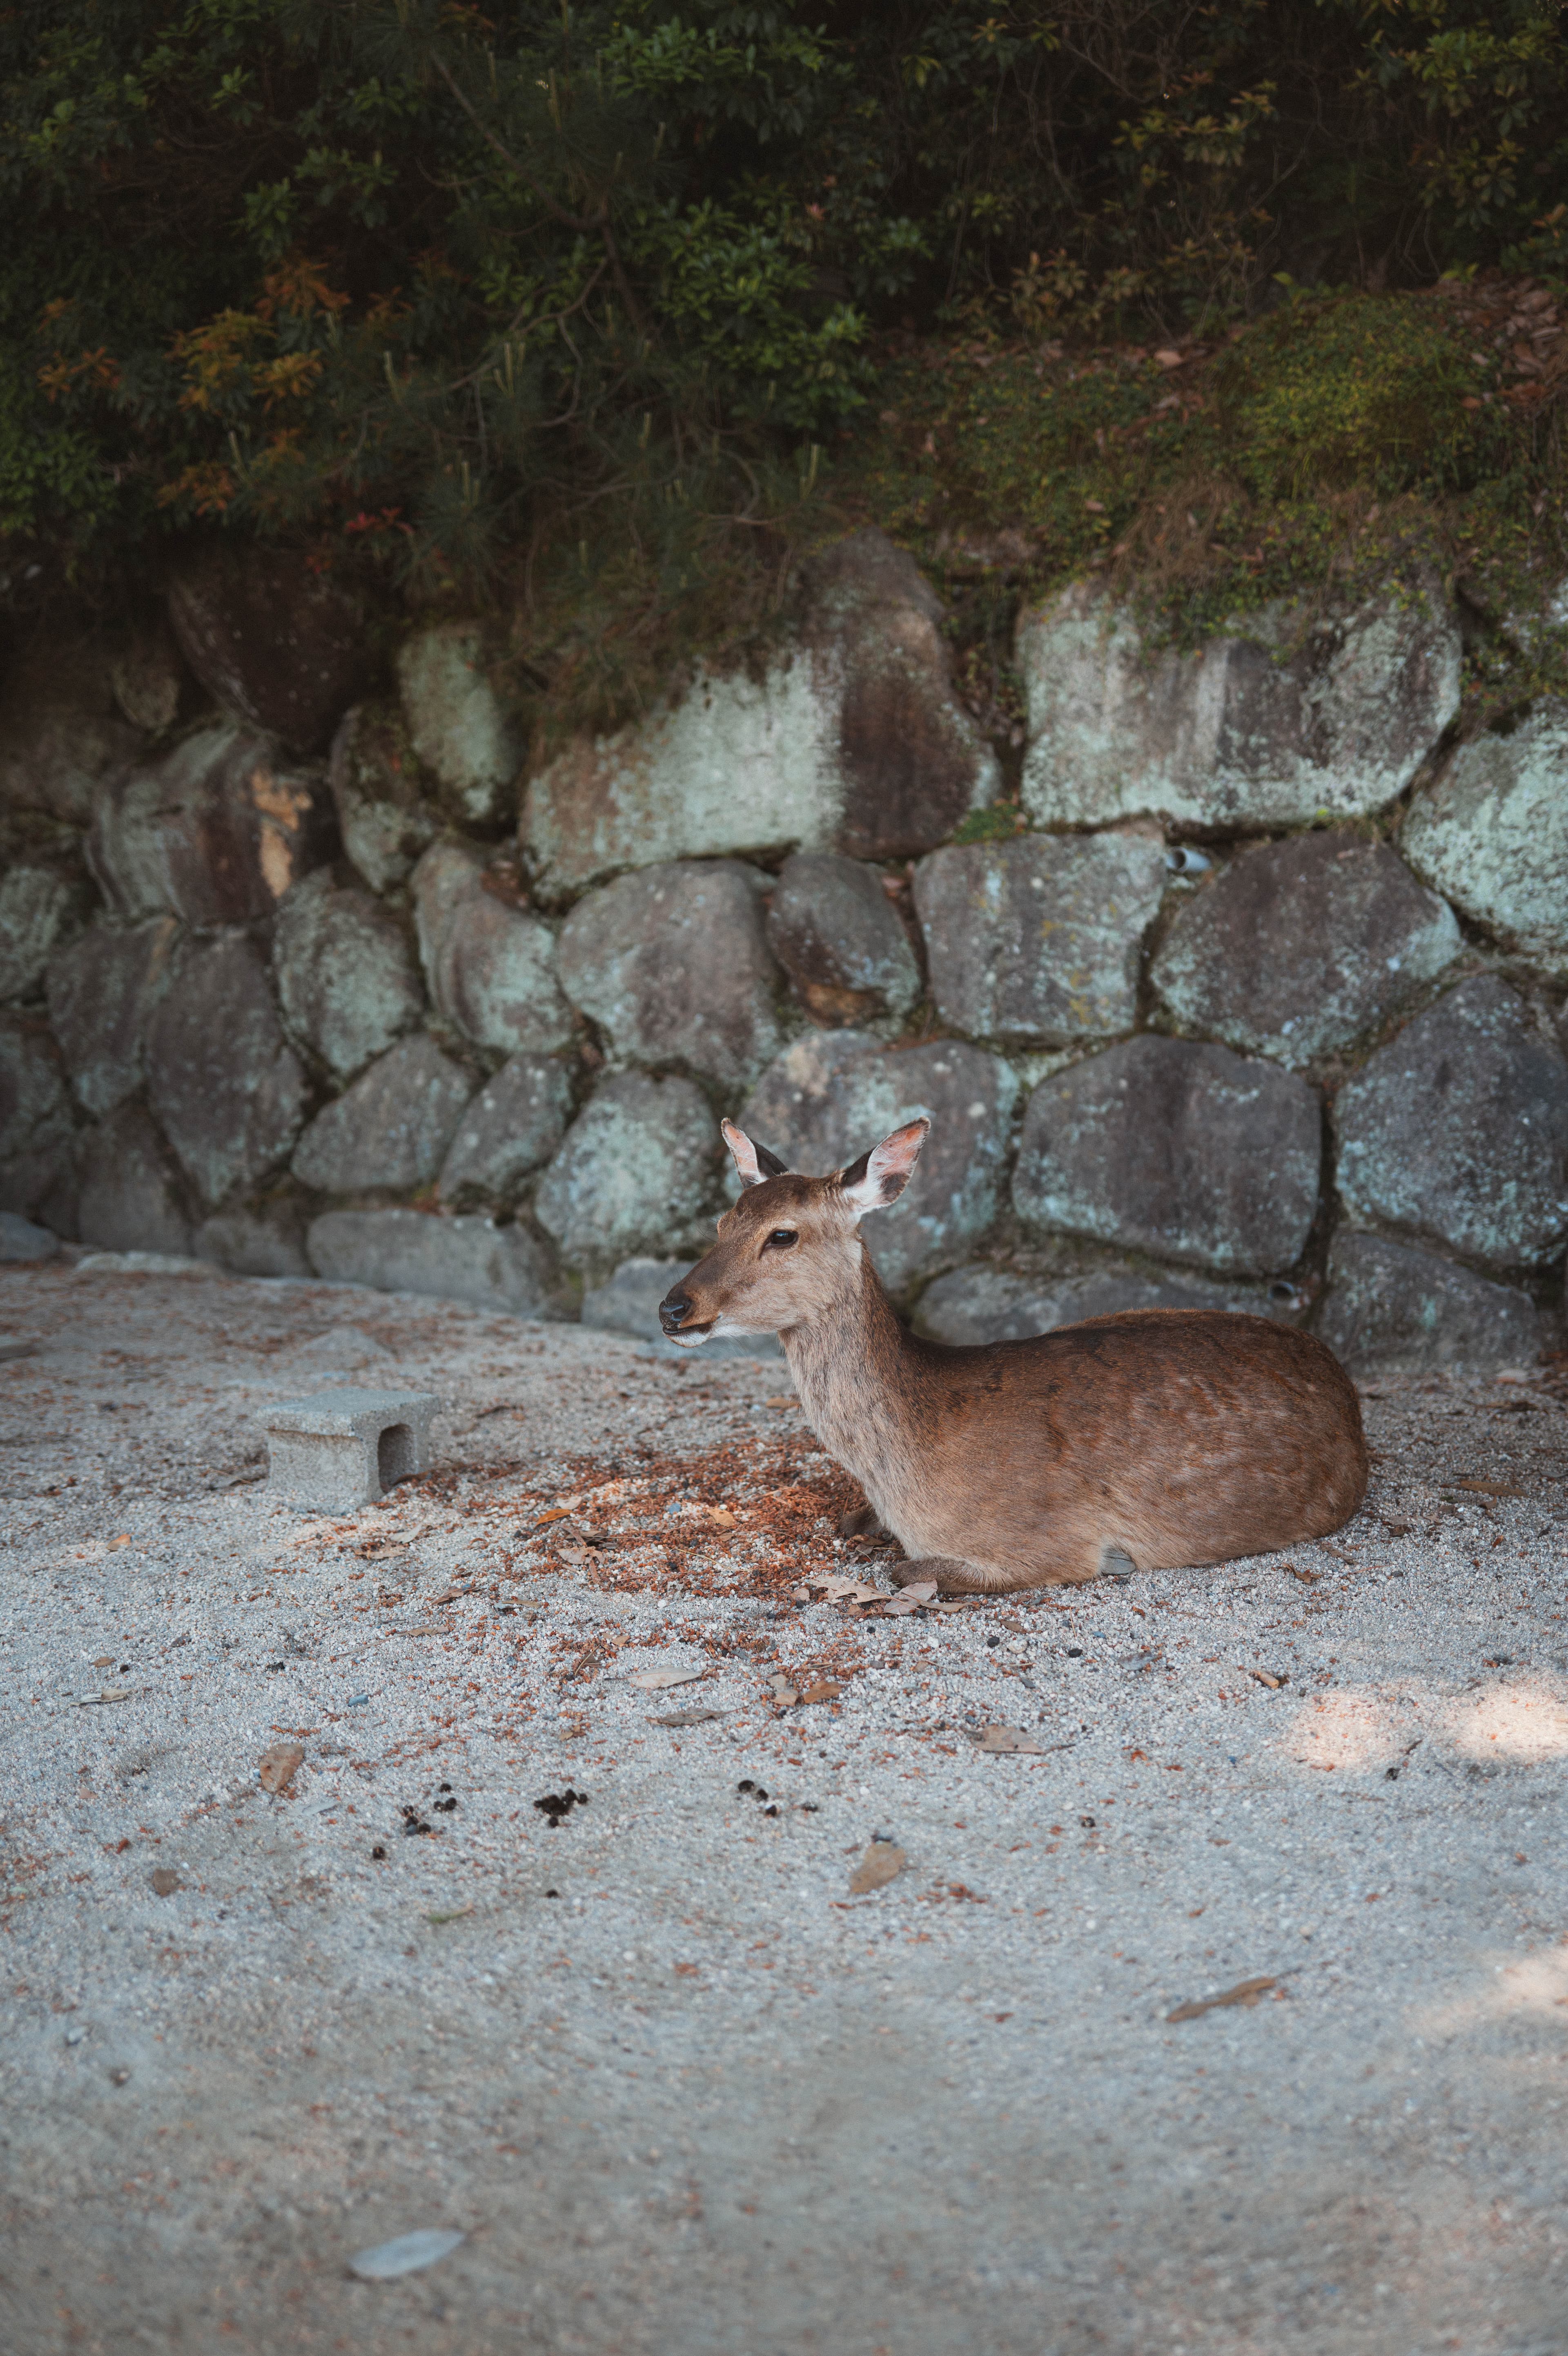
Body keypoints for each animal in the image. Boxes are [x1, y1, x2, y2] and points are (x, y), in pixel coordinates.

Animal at [658, 1116, 1368, 1593]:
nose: (674, 1307)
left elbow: (903, 1569)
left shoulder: (1047, 1545)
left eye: (783, 1235)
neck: (910, 1473)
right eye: (722, 1223)